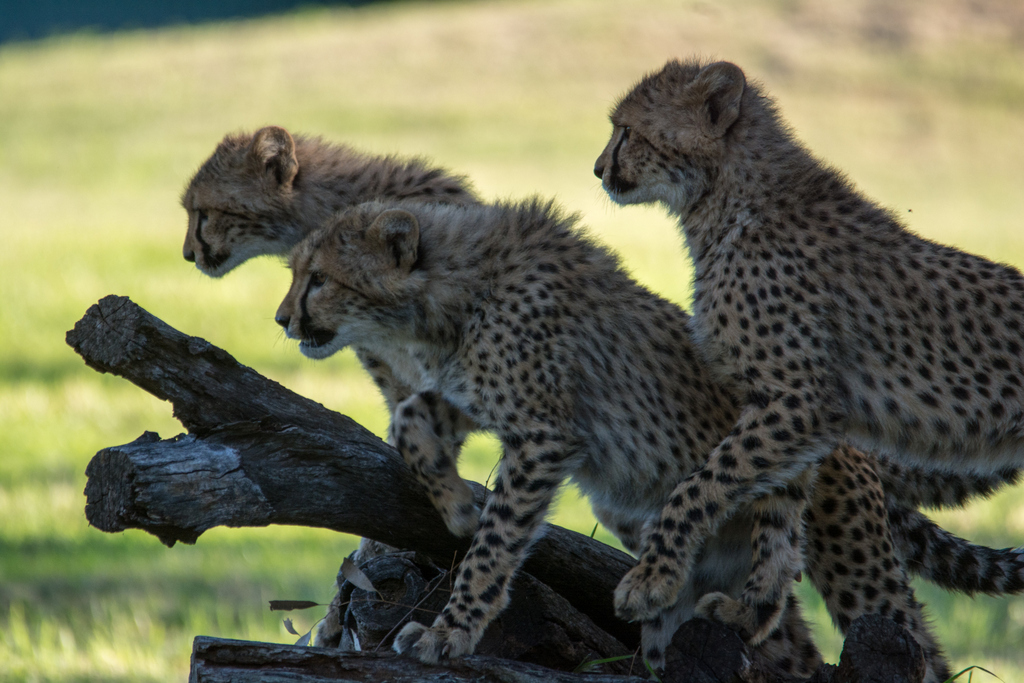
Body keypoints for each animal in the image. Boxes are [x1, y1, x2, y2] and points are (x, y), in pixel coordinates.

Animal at [274, 197, 1023, 678]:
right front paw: (458, 504)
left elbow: (494, 550)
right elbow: (410, 416)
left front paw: (450, 631)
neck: (451, 289)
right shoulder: (481, 396)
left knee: (912, 641)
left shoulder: (544, 432)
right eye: (298, 274)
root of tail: (861, 446)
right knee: (783, 644)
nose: (282, 319)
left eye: (320, 279)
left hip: (851, 559)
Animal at [595, 56, 1024, 680]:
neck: (723, 195)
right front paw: (750, 613)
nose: (598, 168)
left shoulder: (798, 398)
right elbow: (776, 520)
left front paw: (653, 580)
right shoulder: (791, 411)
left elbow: (701, 483)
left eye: (626, 130)